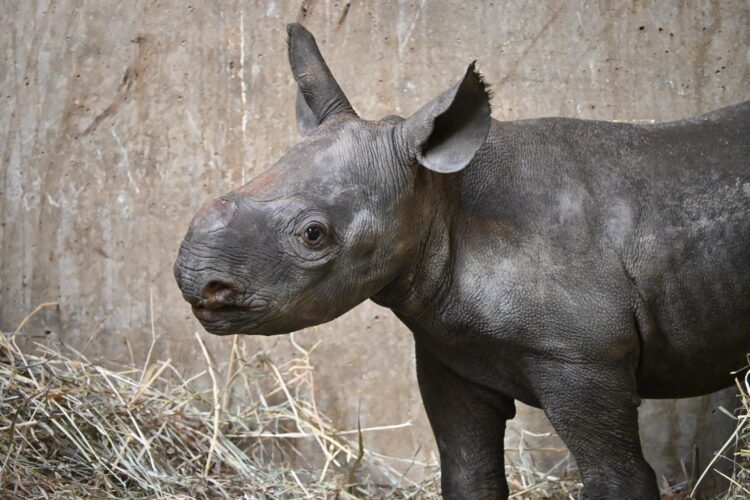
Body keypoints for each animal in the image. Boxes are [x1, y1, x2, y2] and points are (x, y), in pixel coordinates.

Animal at [174, 23, 750, 499]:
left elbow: (618, 478)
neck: (443, 199)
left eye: (314, 235)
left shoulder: (583, 357)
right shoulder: (451, 346)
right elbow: (469, 472)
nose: (197, 282)